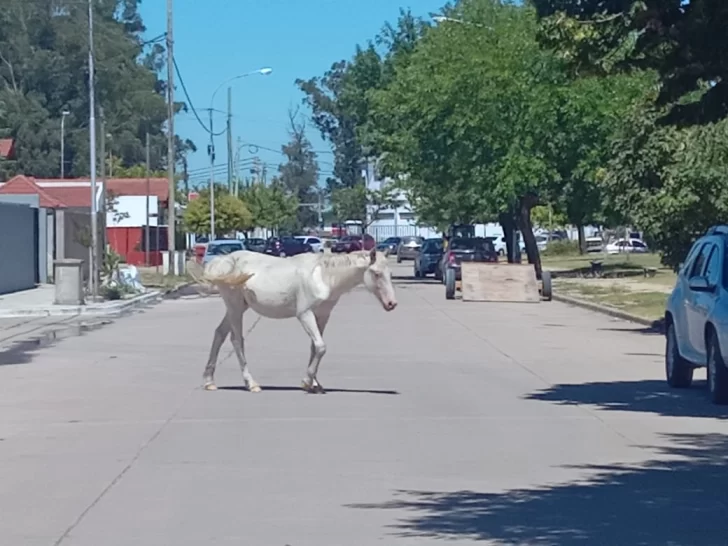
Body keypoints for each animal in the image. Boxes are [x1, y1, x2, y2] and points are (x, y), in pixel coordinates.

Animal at [199, 246, 398, 392]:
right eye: (376, 273)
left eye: (389, 274)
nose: (391, 303)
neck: (323, 276)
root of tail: (222, 262)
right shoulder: (304, 314)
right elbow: (321, 346)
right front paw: (307, 382)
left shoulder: (322, 315)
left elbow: (315, 347)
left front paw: (315, 384)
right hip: (235, 307)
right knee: (236, 339)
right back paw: (251, 383)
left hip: (238, 307)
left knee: (219, 334)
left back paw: (209, 382)